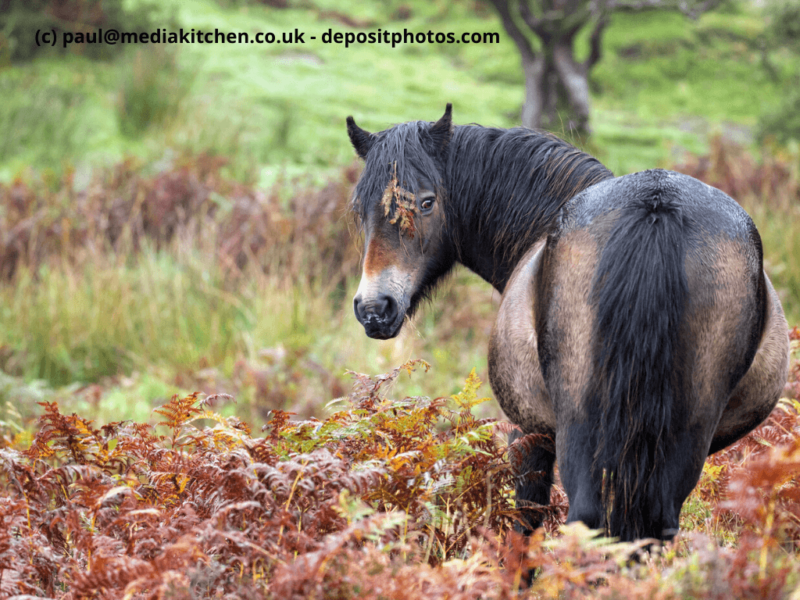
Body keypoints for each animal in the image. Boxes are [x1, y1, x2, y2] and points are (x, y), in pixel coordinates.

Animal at [346, 104, 789, 542]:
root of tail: (656, 210)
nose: (374, 308)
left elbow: (525, 522)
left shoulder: (528, 435)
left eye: (426, 203)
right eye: (359, 208)